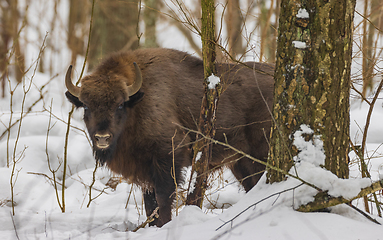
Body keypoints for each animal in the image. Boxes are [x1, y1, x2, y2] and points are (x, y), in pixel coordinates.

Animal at [67, 47, 276, 227]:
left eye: (119, 105)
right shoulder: (145, 171)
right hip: (240, 162)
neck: (139, 102)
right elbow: (150, 204)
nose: (102, 138)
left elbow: (163, 199)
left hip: (258, 156)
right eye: (86, 106)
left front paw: (165, 225)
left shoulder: (167, 159)